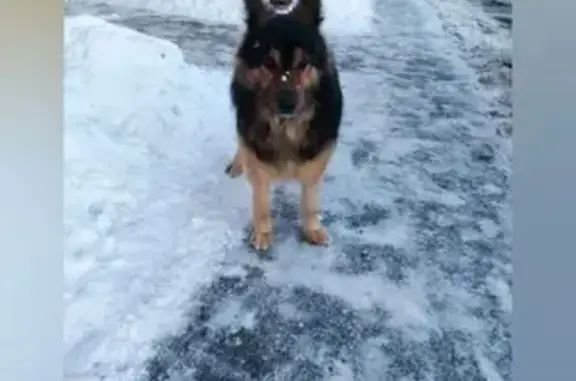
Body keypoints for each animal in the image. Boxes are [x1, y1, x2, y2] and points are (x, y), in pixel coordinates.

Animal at [225, 0, 342, 252]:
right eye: (269, 63)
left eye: (303, 63)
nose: (287, 104)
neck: (286, 126)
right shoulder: (255, 154)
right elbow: (260, 199)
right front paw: (262, 232)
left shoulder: (317, 155)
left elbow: (310, 198)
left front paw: (312, 228)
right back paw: (237, 165)